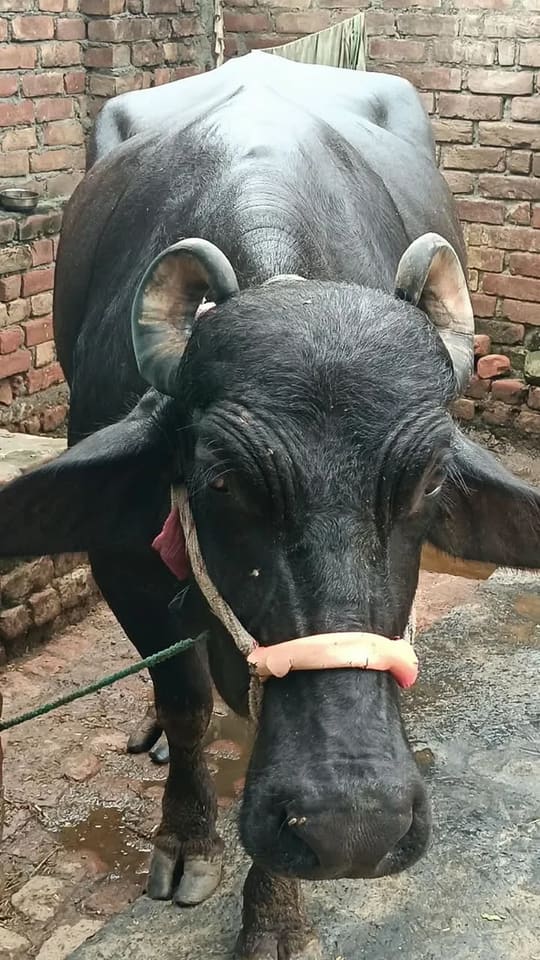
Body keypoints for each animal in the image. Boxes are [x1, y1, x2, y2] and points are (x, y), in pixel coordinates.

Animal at [1, 52, 539, 959]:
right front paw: (187, 840)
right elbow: (185, 699)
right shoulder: (121, 562)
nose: (356, 825)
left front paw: (278, 913)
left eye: (430, 480)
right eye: (221, 480)